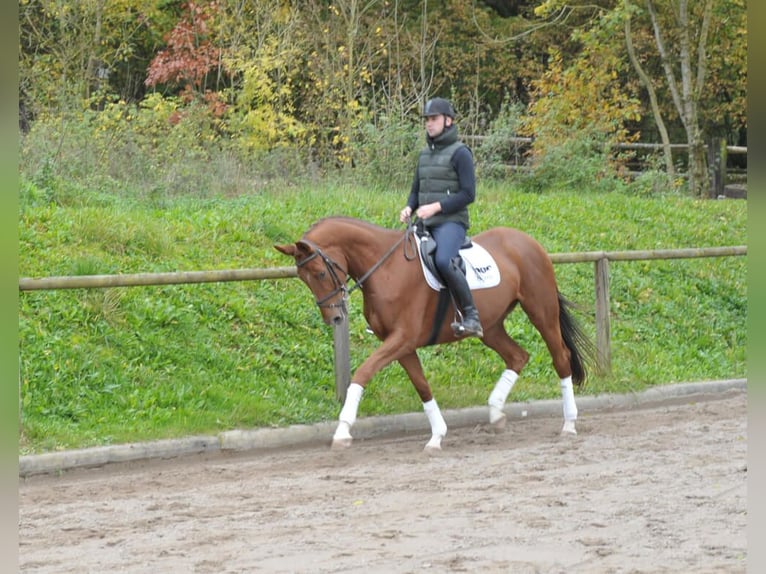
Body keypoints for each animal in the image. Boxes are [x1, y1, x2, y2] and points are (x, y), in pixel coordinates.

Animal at [276, 218, 600, 452]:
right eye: (303, 278)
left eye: (320, 273)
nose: (334, 318)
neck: (386, 269)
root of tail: (529, 241)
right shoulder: (402, 345)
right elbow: (422, 386)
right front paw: (437, 436)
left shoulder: (401, 339)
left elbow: (363, 373)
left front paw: (342, 430)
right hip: (491, 326)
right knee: (518, 356)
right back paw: (496, 413)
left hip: (541, 311)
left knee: (560, 358)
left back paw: (569, 424)